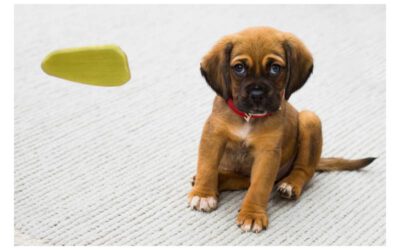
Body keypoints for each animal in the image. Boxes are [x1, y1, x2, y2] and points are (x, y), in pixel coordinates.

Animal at [188, 26, 376, 232]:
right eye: (239, 68)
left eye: (275, 68)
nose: (257, 94)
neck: (248, 118)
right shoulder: (213, 136)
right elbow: (207, 167)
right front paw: (204, 194)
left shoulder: (267, 153)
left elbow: (259, 187)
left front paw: (252, 214)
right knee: (242, 180)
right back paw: (216, 180)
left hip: (310, 119)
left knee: (304, 170)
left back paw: (290, 185)